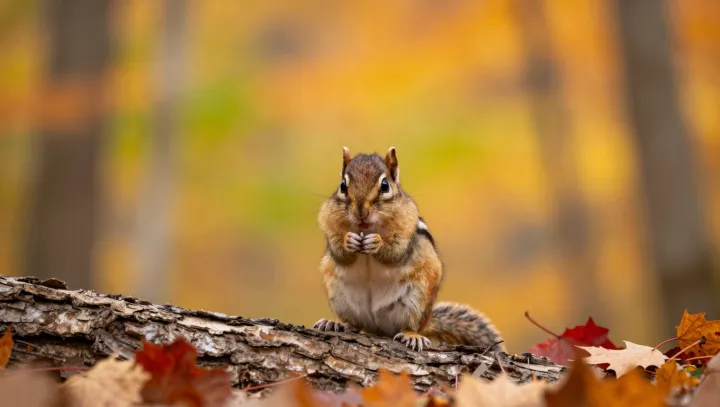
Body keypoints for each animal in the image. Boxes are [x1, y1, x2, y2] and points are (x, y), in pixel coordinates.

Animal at [314, 146, 504, 353]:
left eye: (385, 186)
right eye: (343, 185)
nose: (361, 213)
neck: (367, 228)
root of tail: (376, 325)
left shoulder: (406, 231)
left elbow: (396, 253)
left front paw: (377, 243)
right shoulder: (330, 228)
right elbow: (339, 253)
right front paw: (349, 240)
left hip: (417, 300)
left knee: (409, 325)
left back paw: (412, 336)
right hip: (340, 297)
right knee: (354, 324)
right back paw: (336, 324)